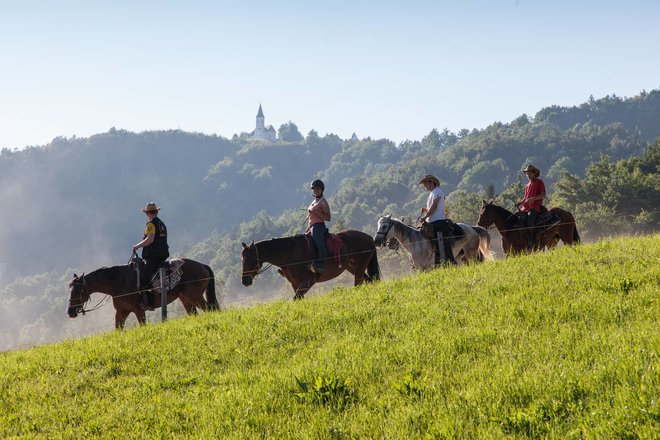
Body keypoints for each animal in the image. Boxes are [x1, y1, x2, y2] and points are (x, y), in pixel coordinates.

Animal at [68, 260, 220, 328]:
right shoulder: (121, 312)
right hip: (186, 299)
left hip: (196, 296)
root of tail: (203, 266)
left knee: (210, 309)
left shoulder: (139, 310)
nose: (70, 312)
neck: (118, 282)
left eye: (77, 291)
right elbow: (118, 329)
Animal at [240, 230, 378, 300]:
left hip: (360, 267)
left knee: (358, 284)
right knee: (369, 280)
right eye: (242, 259)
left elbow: (296, 298)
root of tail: (369, 237)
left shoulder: (308, 281)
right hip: (353, 268)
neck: (288, 253)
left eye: (251, 259)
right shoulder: (295, 283)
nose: (245, 281)